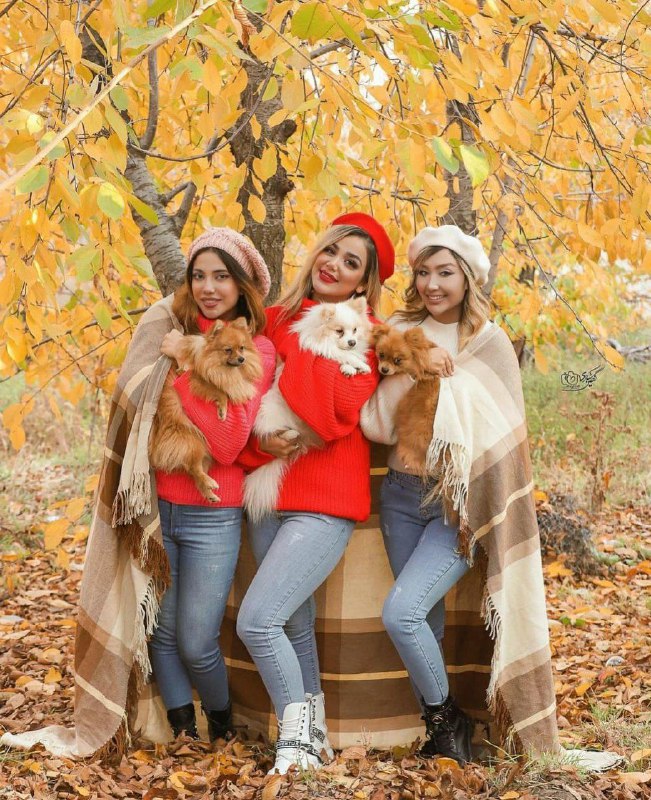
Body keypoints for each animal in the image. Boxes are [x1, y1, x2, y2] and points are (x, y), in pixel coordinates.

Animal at [149, 316, 263, 503]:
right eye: (228, 350)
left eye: (242, 348)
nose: (241, 359)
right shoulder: (198, 381)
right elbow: (220, 392)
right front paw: (222, 409)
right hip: (192, 440)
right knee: (193, 467)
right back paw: (209, 483)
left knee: (193, 470)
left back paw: (210, 494)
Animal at [244, 296, 371, 522]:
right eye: (339, 331)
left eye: (355, 330)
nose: (352, 342)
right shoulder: (322, 348)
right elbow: (341, 354)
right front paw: (358, 364)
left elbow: (346, 360)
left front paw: (351, 368)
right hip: (273, 414)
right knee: (276, 432)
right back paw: (290, 434)